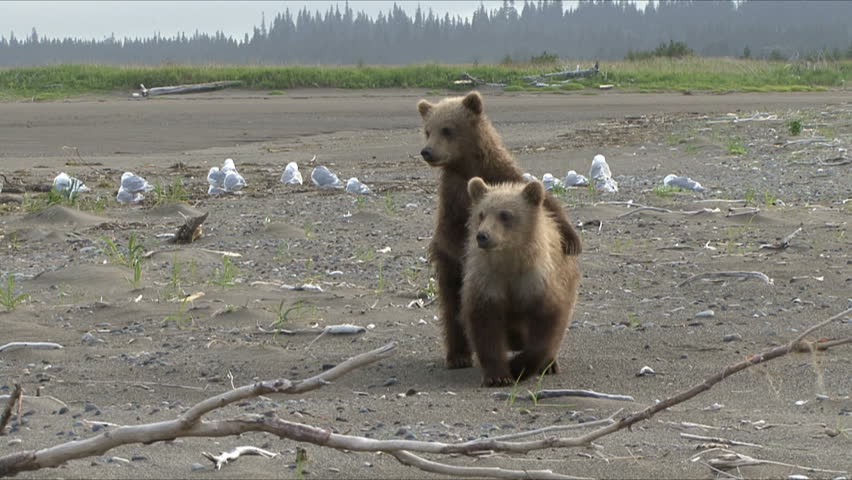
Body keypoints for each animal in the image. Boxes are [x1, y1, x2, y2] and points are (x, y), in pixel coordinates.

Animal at [462, 177, 580, 387]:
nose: (482, 236)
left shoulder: (536, 281)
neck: (510, 262)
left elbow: (547, 323)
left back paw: (550, 364)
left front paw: (517, 367)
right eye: (481, 214)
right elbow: (485, 325)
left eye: (505, 214)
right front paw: (498, 375)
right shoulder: (488, 281)